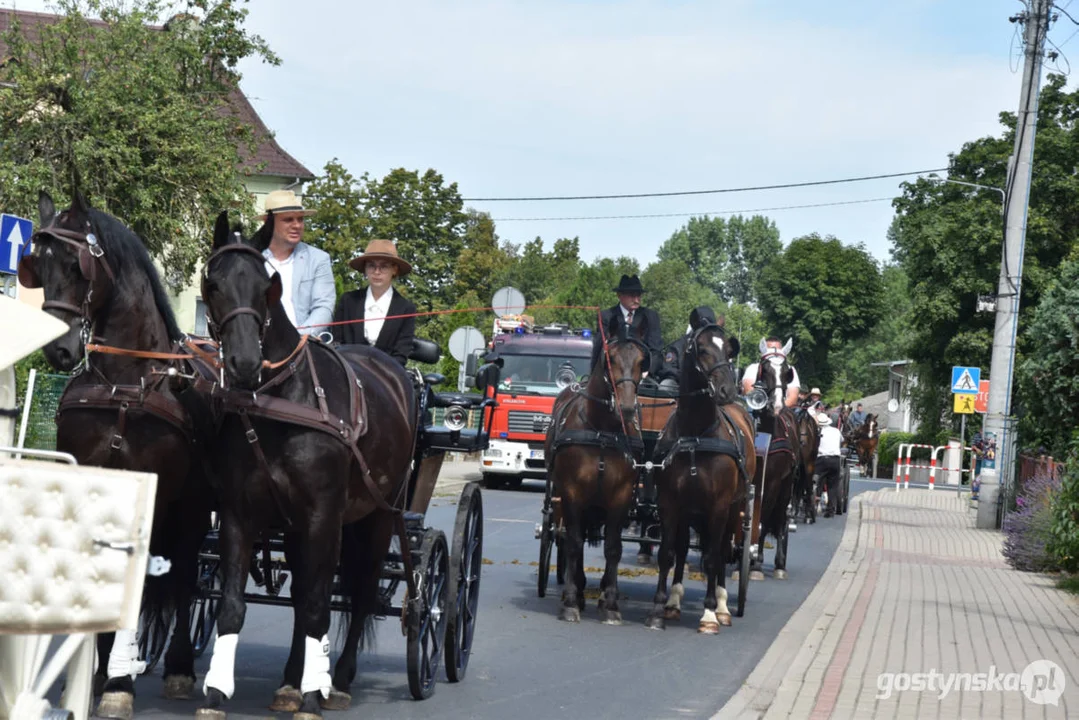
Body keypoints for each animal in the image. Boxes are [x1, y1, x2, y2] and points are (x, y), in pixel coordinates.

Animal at [16, 191, 213, 720]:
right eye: (37, 266)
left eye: (77, 265)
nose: (59, 351)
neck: (125, 384)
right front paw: (98, 670)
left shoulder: (157, 493)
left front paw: (120, 682)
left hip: (194, 508)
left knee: (185, 577)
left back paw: (180, 666)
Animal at [196, 213, 414, 720]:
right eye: (213, 284)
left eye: (266, 286)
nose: (244, 362)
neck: (279, 401)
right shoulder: (239, 514)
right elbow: (234, 605)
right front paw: (216, 691)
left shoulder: (324, 516)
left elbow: (319, 605)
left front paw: (316, 693)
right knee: (304, 597)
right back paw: (291, 681)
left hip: (379, 516)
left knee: (361, 592)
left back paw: (340, 679)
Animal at [643, 323, 755, 634]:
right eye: (701, 349)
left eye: (729, 350)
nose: (727, 389)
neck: (696, 434)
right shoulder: (671, 504)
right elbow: (667, 554)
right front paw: (658, 609)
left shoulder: (718, 506)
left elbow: (712, 557)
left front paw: (709, 615)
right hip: (690, 512)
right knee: (683, 549)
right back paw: (674, 603)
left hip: (732, 510)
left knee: (720, 552)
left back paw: (723, 607)